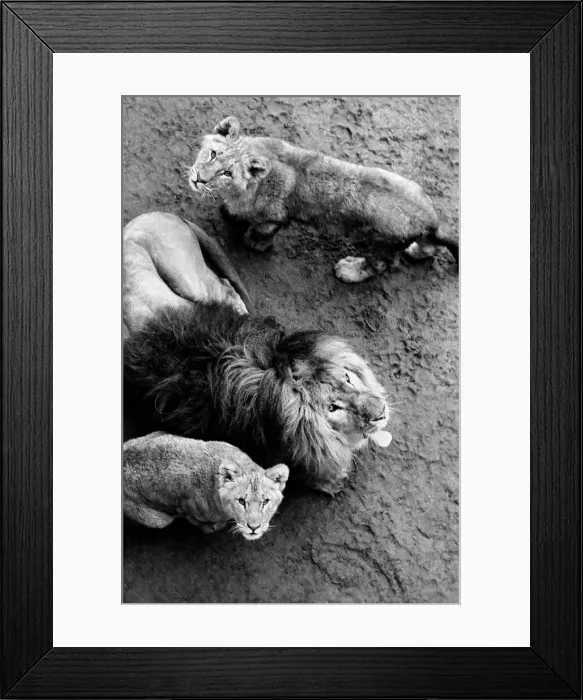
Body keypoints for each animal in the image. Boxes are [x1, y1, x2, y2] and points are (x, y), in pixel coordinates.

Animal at [124, 431, 289, 540]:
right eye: (241, 501)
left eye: (265, 501)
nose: (254, 528)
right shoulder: (186, 504)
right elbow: (199, 520)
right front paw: (212, 527)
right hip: (155, 519)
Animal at [188, 115, 458, 284]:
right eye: (213, 154)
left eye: (227, 173)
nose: (199, 179)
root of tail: (429, 217)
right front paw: (231, 211)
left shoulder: (274, 218)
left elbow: (261, 233)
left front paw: (252, 242)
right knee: (432, 245)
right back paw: (416, 250)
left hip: (376, 241)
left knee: (383, 264)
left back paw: (350, 270)